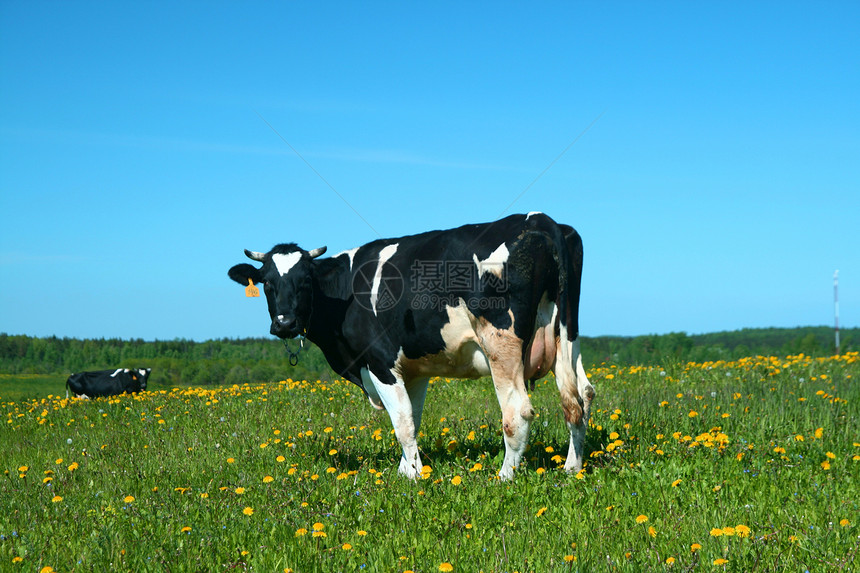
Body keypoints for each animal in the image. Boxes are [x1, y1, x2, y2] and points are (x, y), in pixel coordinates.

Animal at [227, 211, 592, 478]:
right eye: (267, 284)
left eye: (305, 281)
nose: (285, 323)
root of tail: (538, 218)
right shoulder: (413, 369)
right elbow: (412, 418)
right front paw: (407, 469)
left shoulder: (380, 362)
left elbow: (401, 422)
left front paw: (415, 476)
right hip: (566, 333)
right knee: (578, 397)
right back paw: (571, 468)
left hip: (500, 343)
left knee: (517, 411)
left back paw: (505, 476)